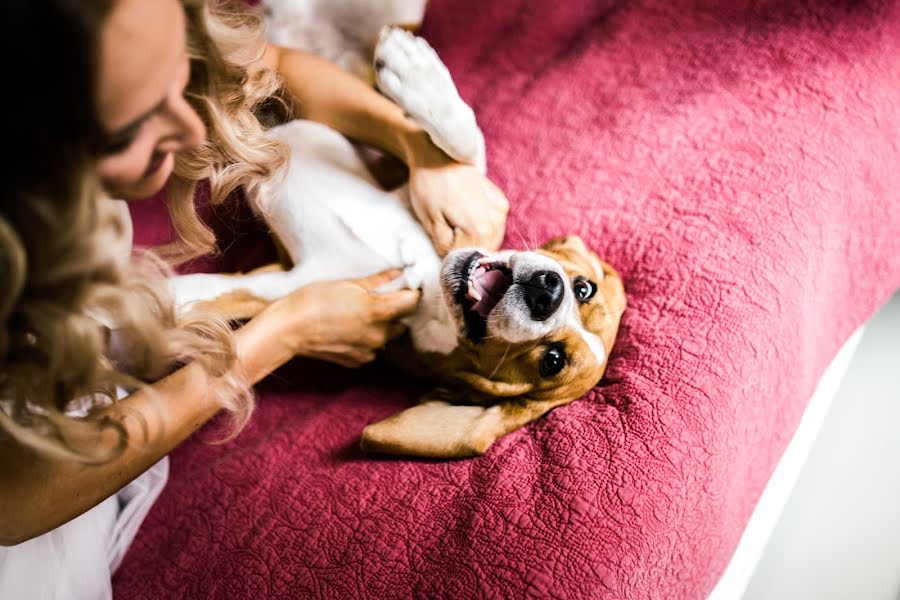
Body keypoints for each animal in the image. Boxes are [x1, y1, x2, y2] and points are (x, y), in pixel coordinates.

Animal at [171, 23, 624, 458]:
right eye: (584, 288)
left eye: (552, 362)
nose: (547, 291)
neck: (426, 283)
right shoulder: (425, 193)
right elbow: (460, 152)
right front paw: (416, 73)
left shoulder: (293, 282)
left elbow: (218, 296)